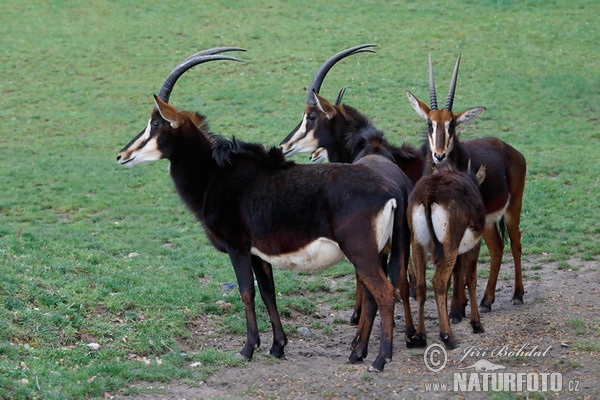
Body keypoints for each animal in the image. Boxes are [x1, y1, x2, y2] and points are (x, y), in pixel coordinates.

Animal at [115, 47, 412, 372]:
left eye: (156, 124)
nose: (122, 155)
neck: (217, 174)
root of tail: (392, 189)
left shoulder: (238, 247)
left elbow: (246, 291)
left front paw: (248, 348)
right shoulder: (259, 252)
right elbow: (269, 292)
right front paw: (277, 346)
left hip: (361, 252)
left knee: (385, 293)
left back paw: (380, 359)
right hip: (378, 252)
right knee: (372, 295)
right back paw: (358, 353)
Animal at [406, 54, 528, 314]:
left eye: (452, 124)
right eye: (430, 123)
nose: (439, 155)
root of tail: (511, 150)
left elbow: (458, 266)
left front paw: (456, 309)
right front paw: (459, 306)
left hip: (513, 209)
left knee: (515, 243)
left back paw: (517, 294)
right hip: (488, 222)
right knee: (497, 248)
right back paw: (487, 300)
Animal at [408, 162, 488, 350]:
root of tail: (429, 195)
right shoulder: (474, 245)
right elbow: (470, 279)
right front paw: (476, 324)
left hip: (417, 244)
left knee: (421, 284)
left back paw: (421, 336)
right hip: (450, 245)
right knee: (439, 281)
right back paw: (447, 337)